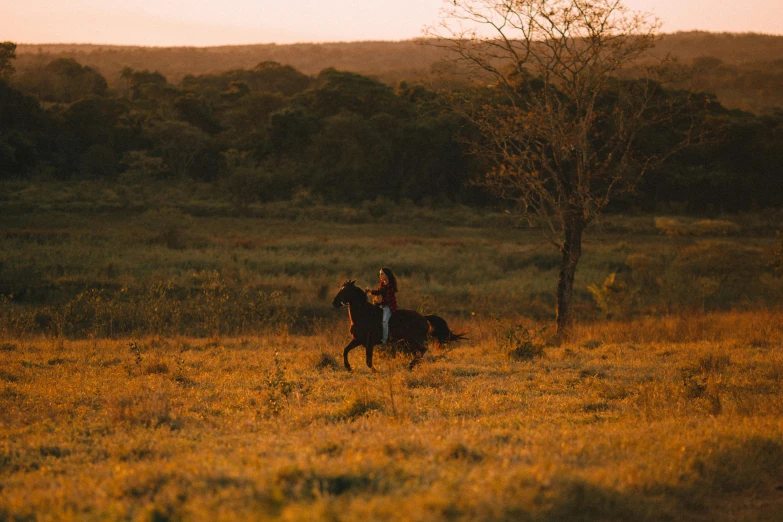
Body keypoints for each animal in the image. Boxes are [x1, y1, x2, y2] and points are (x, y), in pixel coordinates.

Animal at [330, 278, 466, 368]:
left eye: (345, 290)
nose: (334, 302)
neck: (363, 314)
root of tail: (423, 317)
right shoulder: (358, 340)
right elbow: (346, 350)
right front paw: (348, 367)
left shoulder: (369, 343)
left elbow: (368, 361)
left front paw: (375, 371)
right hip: (409, 341)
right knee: (418, 352)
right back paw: (412, 365)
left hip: (413, 340)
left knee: (422, 351)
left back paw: (411, 366)